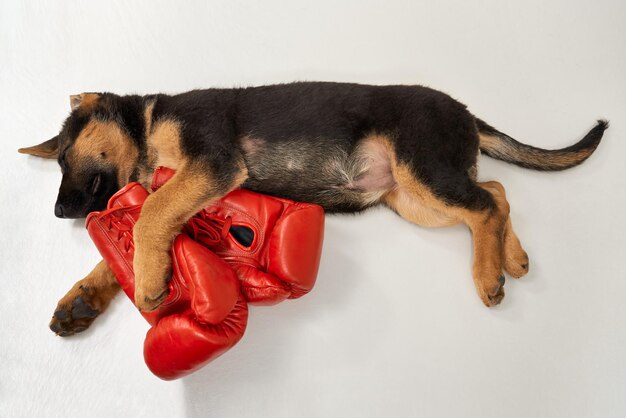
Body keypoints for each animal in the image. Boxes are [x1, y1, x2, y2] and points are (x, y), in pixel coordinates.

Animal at [19, 81, 604, 336]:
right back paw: (514, 257)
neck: (146, 122)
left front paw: (145, 281)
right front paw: (86, 297)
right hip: (414, 197)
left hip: (423, 169)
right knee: (497, 192)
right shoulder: (193, 188)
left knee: (483, 203)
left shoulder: (210, 164)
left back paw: (489, 274)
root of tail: (467, 112)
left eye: (66, 154)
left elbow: (150, 215)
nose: (59, 213)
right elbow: (133, 231)